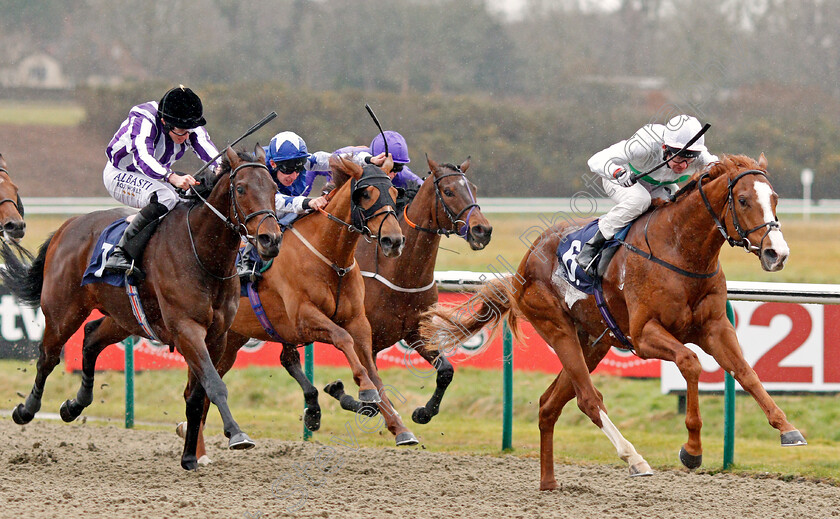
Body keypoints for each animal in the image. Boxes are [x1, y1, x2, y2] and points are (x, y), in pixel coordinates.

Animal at [0, 147, 282, 472]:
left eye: (274, 189)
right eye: (241, 189)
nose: (271, 239)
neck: (204, 255)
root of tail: (67, 225)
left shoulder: (217, 335)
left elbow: (197, 394)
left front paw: (189, 457)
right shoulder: (186, 329)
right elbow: (213, 384)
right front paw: (236, 434)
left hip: (124, 317)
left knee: (91, 338)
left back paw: (74, 405)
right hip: (62, 312)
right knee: (47, 357)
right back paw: (26, 410)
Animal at [183, 153, 406, 460]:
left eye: (394, 193)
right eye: (367, 194)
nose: (393, 241)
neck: (330, 258)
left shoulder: (358, 321)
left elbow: (373, 369)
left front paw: (399, 426)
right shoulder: (303, 317)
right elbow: (342, 339)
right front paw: (365, 391)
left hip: (229, 341)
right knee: (196, 389)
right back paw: (201, 451)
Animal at [294, 154, 496, 442]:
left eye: (475, 189)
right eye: (448, 191)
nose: (483, 230)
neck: (401, 272)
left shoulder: (415, 331)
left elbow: (446, 371)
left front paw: (423, 412)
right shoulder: (367, 339)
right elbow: (371, 395)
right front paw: (341, 391)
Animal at [420, 154, 808, 492]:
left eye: (774, 198)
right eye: (743, 200)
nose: (777, 253)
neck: (681, 250)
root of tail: (522, 268)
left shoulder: (715, 328)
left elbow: (746, 372)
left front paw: (787, 428)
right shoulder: (645, 335)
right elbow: (690, 362)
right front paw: (692, 450)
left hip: (594, 342)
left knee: (549, 404)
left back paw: (549, 483)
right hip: (557, 328)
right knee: (588, 399)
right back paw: (634, 459)